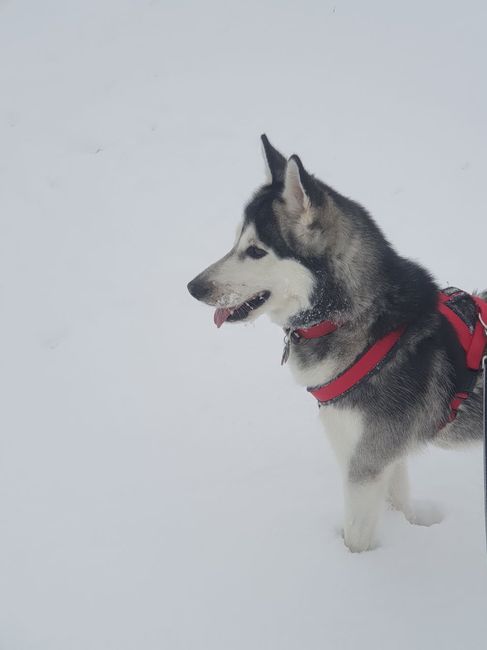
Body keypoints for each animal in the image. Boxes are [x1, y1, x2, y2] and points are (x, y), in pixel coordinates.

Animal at [186, 134, 484, 548]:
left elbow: (356, 539)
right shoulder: (386, 456)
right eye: (235, 243)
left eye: (256, 250)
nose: (193, 287)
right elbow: (398, 500)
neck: (364, 322)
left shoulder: (365, 463)